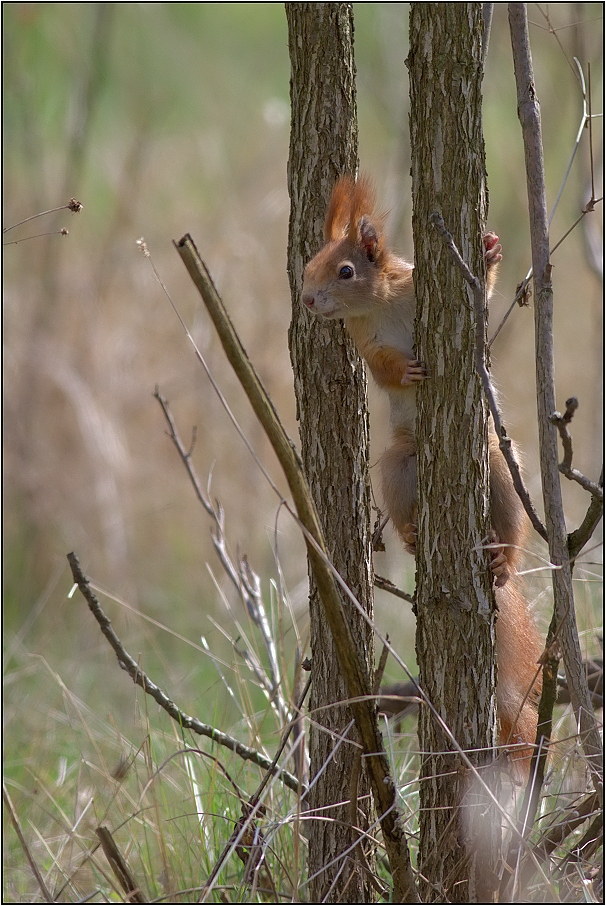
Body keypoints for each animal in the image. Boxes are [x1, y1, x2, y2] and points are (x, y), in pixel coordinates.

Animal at [304, 173, 548, 772]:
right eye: (310, 264)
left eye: (345, 270)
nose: (308, 300)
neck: (381, 306)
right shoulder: (365, 342)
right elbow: (382, 366)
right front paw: (407, 370)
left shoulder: (419, 289)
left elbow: (482, 297)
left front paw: (489, 251)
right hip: (395, 466)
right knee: (401, 498)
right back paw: (414, 534)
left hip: (499, 471)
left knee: (511, 527)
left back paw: (501, 560)